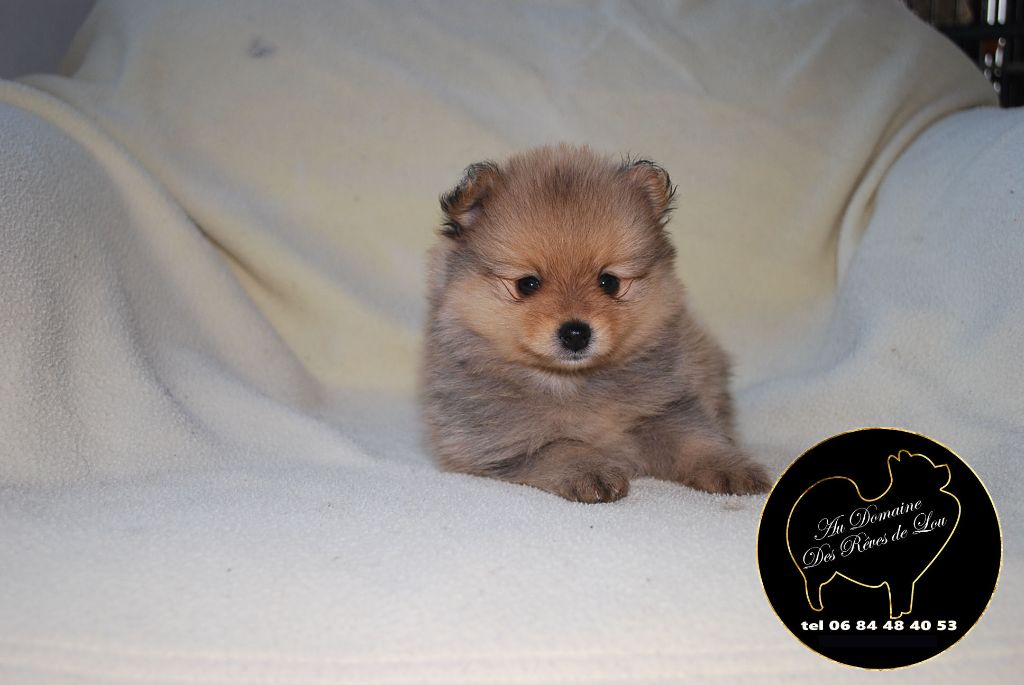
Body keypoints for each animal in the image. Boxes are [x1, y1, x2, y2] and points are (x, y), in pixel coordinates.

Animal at [421, 145, 770, 502]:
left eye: (609, 282)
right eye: (527, 284)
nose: (576, 333)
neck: (573, 383)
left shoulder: (668, 406)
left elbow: (695, 439)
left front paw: (730, 467)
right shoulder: (496, 443)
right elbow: (560, 446)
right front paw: (591, 470)